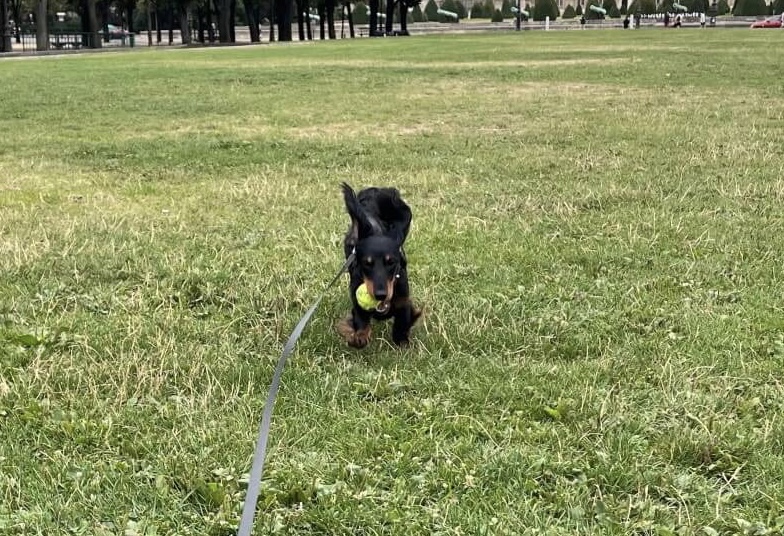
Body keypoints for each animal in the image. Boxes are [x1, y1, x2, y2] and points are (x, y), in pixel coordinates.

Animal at [338, 182, 422, 348]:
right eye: (367, 263)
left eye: (391, 262)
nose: (381, 295)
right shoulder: (356, 302)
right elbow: (360, 320)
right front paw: (359, 337)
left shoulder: (403, 299)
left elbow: (402, 322)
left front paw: (402, 340)